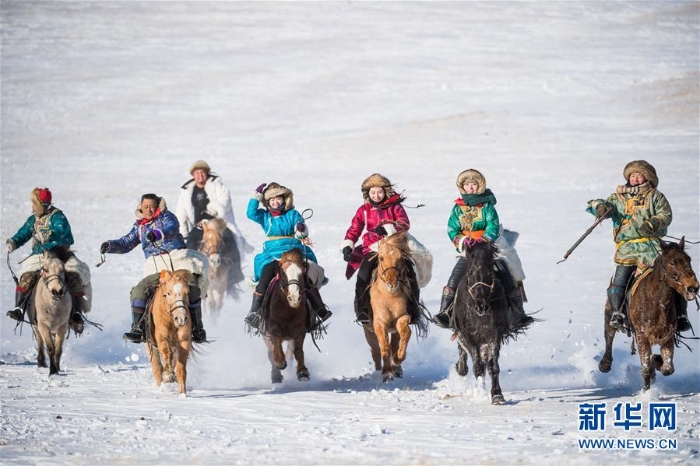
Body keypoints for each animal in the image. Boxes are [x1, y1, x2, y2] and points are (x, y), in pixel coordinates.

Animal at [145, 268, 193, 396]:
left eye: (187, 293)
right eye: (168, 293)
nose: (181, 319)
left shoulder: (184, 341)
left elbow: (181, 369)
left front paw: (182, 393)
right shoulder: (161, 337)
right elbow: (167, 354)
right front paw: (167, 376)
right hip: (149, 345)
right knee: (157, 367)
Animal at [262, 249, 310, 384]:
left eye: (302, 272)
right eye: (283, 273)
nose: (294, 298)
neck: (287, 309)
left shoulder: (299, 328)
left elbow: (298, 350)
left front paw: (302, 372)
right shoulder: (272, 327)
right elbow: (276, 342)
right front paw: (280, 362)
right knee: (270, 352)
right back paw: (276, 376)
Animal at [366, 232, 426, 382]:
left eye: (400, 258)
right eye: (381, 257)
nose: (392, 282)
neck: (389, 297)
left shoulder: (402, 317)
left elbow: (405, 334)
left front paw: (397, 360)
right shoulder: (379, 323)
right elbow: (384, 347)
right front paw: (386, 372)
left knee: (394, 343)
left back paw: (396, 369)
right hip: (368, 331)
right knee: (376, 350)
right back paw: (379, 370)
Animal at [448, 240, 524, 404]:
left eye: (489, 274)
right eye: (470, 273)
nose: (481, 306)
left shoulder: (494, 334)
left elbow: (492, 365)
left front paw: (497, 394)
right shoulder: (469, 335)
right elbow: (477, 365)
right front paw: (481, 392)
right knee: (463, 354)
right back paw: (460, 368)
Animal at [596, 238, 700, 392]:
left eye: (688, 260)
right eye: (672, 262)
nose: (693, 287)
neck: (657, 303)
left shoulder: (668, 337)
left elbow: (668, 368)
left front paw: (655, 362)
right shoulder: (642, 336)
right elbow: (644, 368)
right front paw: (647, 391)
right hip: (609, 311)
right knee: (609, 334)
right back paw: (605, 364)